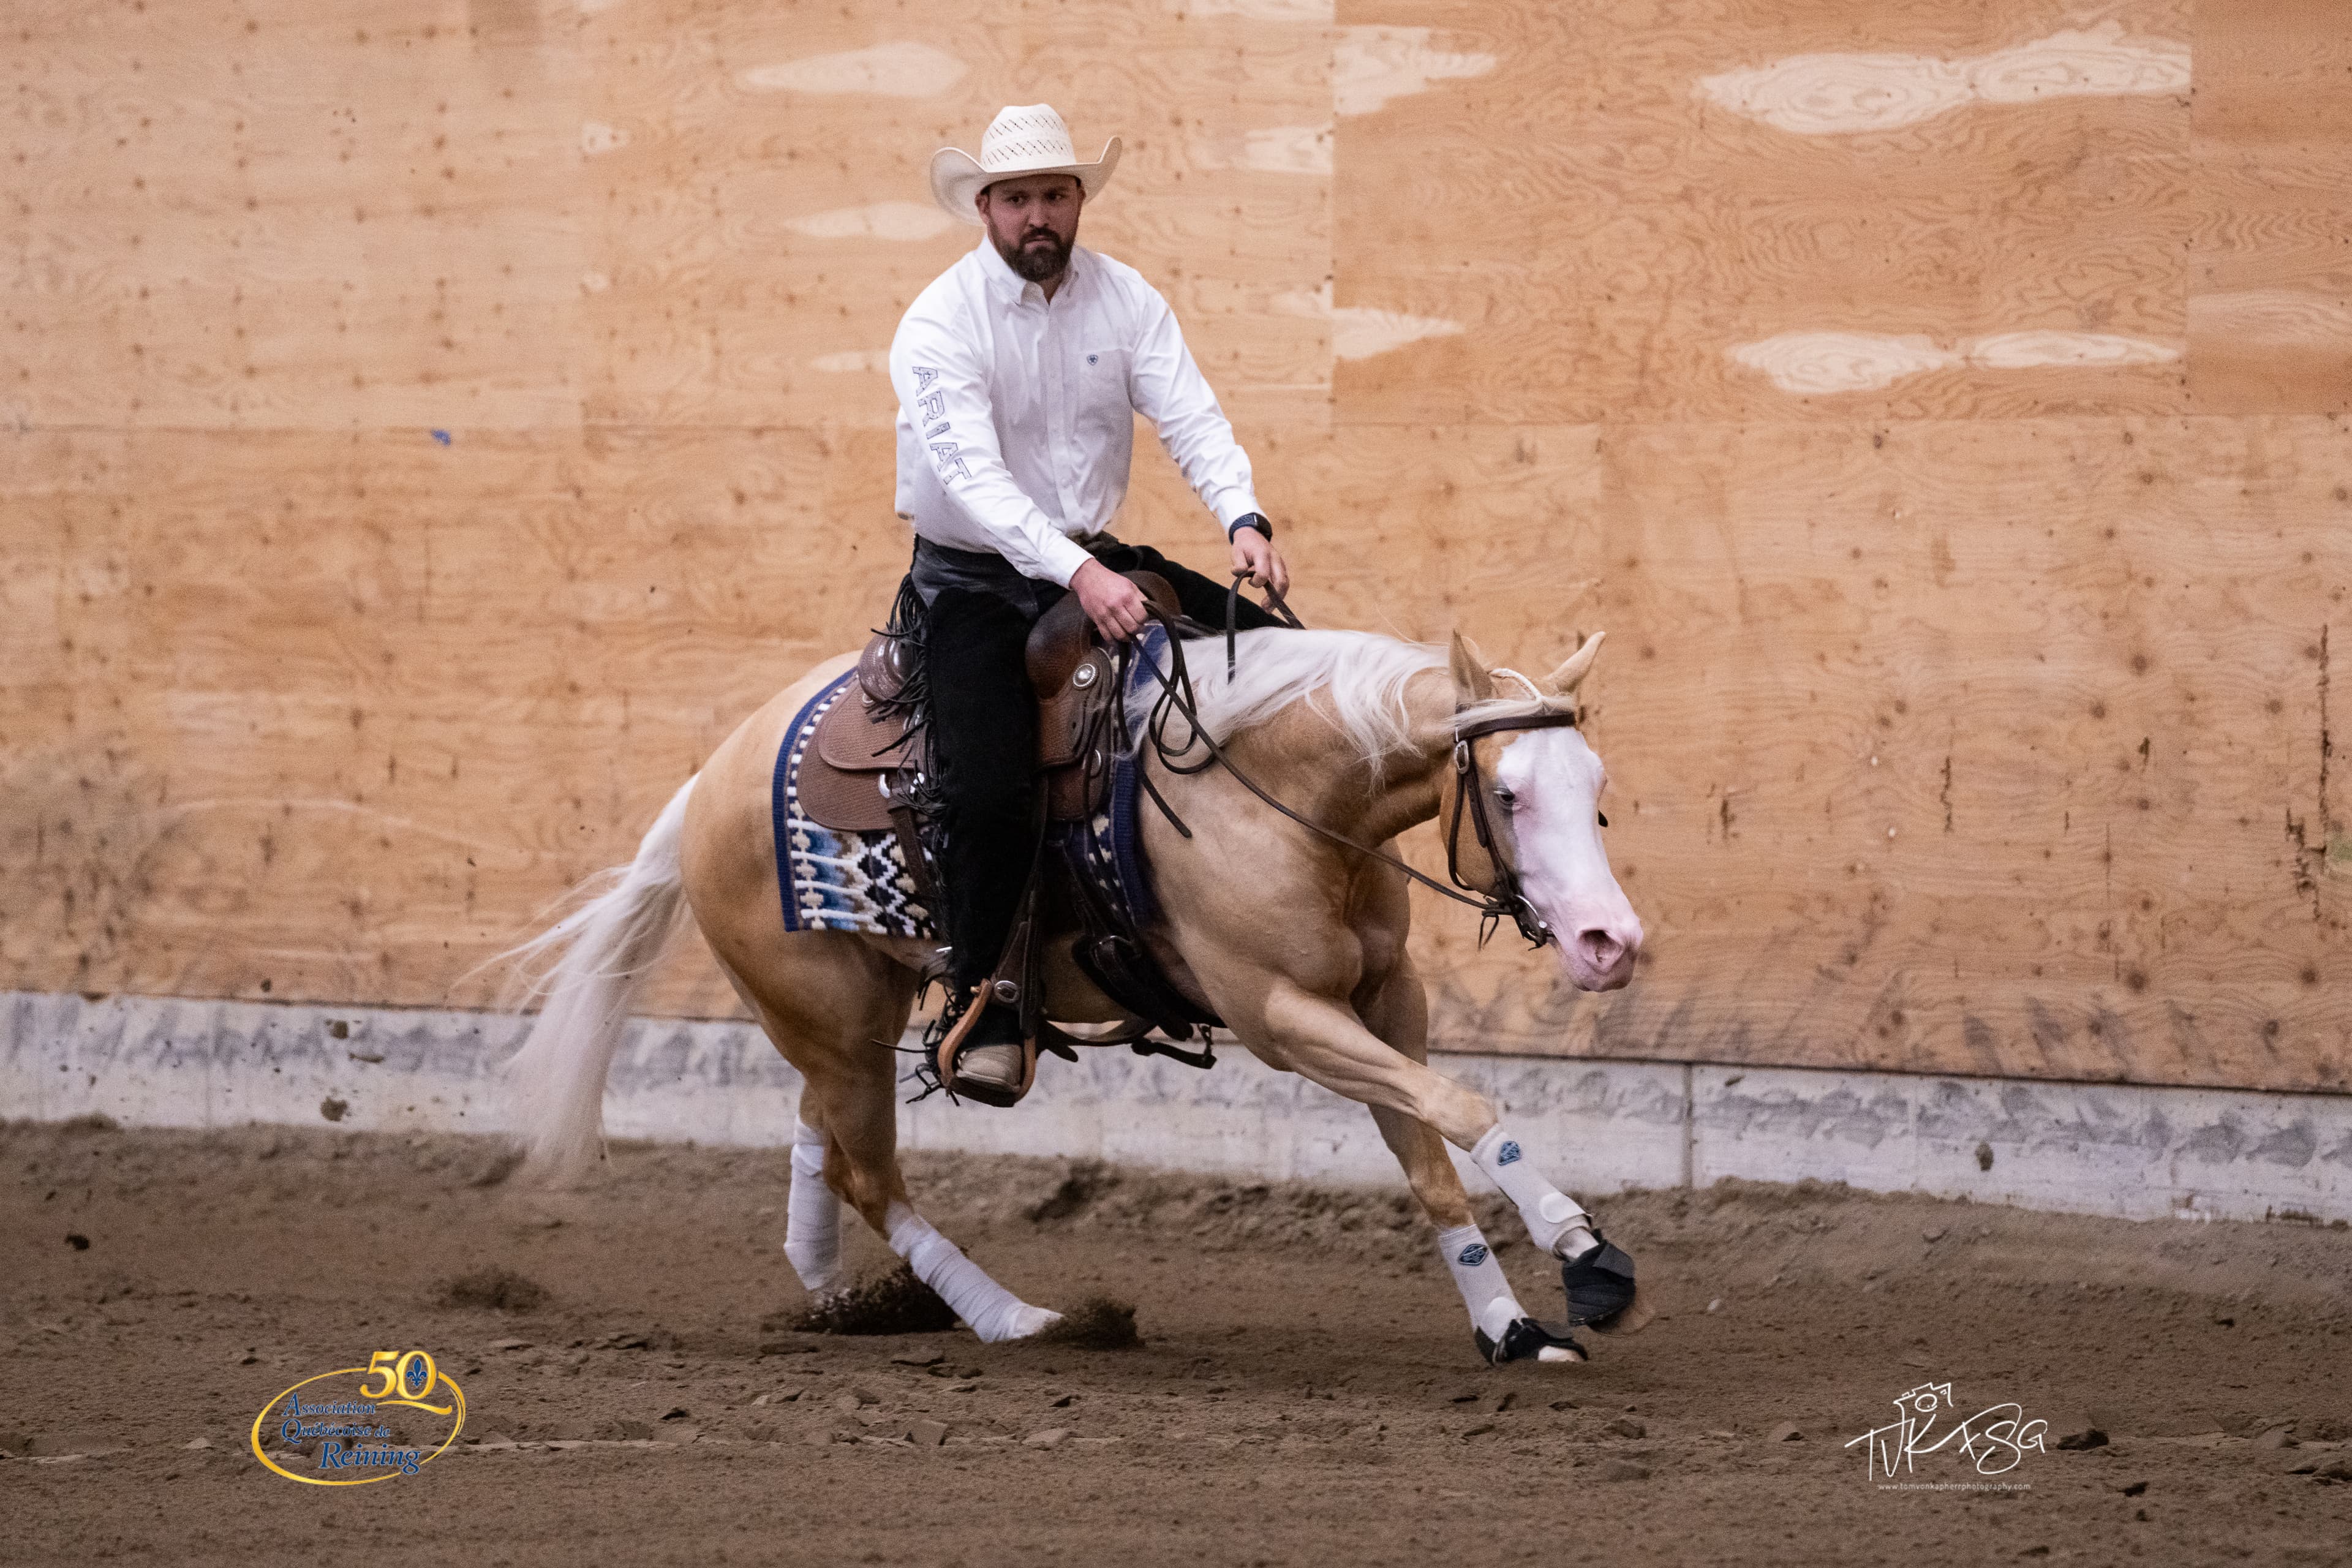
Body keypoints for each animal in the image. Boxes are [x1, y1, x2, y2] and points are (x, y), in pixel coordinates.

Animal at [498, 621, 1653, 1365]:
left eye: (1597, 787)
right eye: (1508, 791)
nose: (1611, 942)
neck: (1282, 796)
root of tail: (713, 774)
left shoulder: (1384, 1002)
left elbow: (1431, 1155)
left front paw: (1509, 1326)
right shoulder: (1283, 1017)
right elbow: (1467, 1106)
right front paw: (1589, 1256)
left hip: (852, 1019)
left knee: (821, 1143)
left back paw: (833, 1290)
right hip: (825, 1020)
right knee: (870, 1175)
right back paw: (1016, 1320)